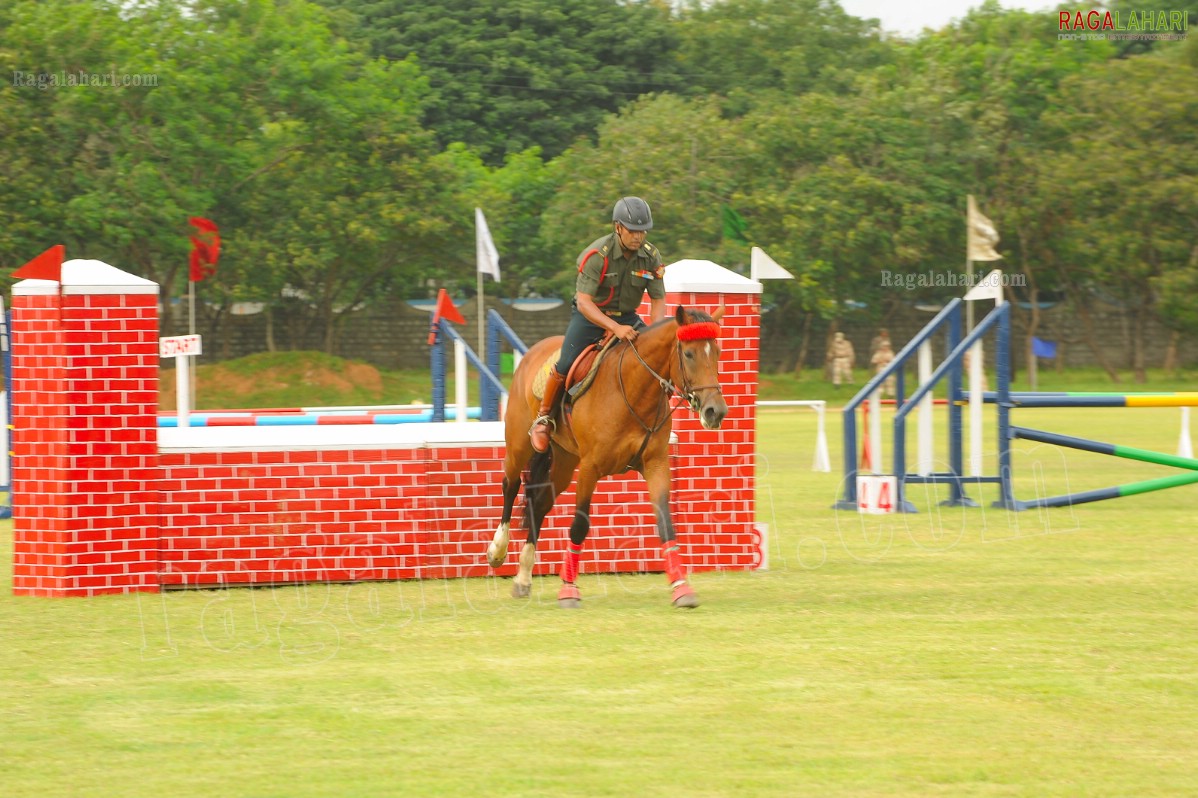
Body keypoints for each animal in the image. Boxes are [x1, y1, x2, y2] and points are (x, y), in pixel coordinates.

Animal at [486, 301, 728, 606]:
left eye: (717, 353)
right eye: (688, 353)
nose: (715, 411)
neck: (635, 389)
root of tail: (534, 351)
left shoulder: (656, 464)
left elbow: (665, 522)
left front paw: (681, 588)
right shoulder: (590, 468)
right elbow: (579, 524)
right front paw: (568, 590)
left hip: (565, 460)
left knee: (539, 504)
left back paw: (523, 578)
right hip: (520, 443)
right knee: (510, 484)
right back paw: (497, 550)